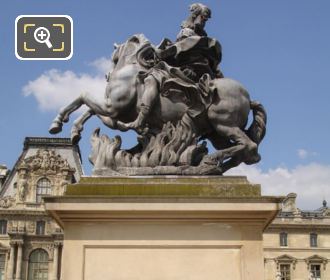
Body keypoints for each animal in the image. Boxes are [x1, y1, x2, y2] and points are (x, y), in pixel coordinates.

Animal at [49, 33, 266, 173]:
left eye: (114, 57)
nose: (107, 73)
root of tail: (248, 98)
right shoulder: (113, 109)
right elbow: (90, 110)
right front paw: (74, 130)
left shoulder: (113, 106)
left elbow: (83, 96)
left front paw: (58, 121)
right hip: (216, 133)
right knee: (249, 153)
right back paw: (208, 166)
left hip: (223, 123)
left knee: (249, 146)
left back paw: (210, 160)